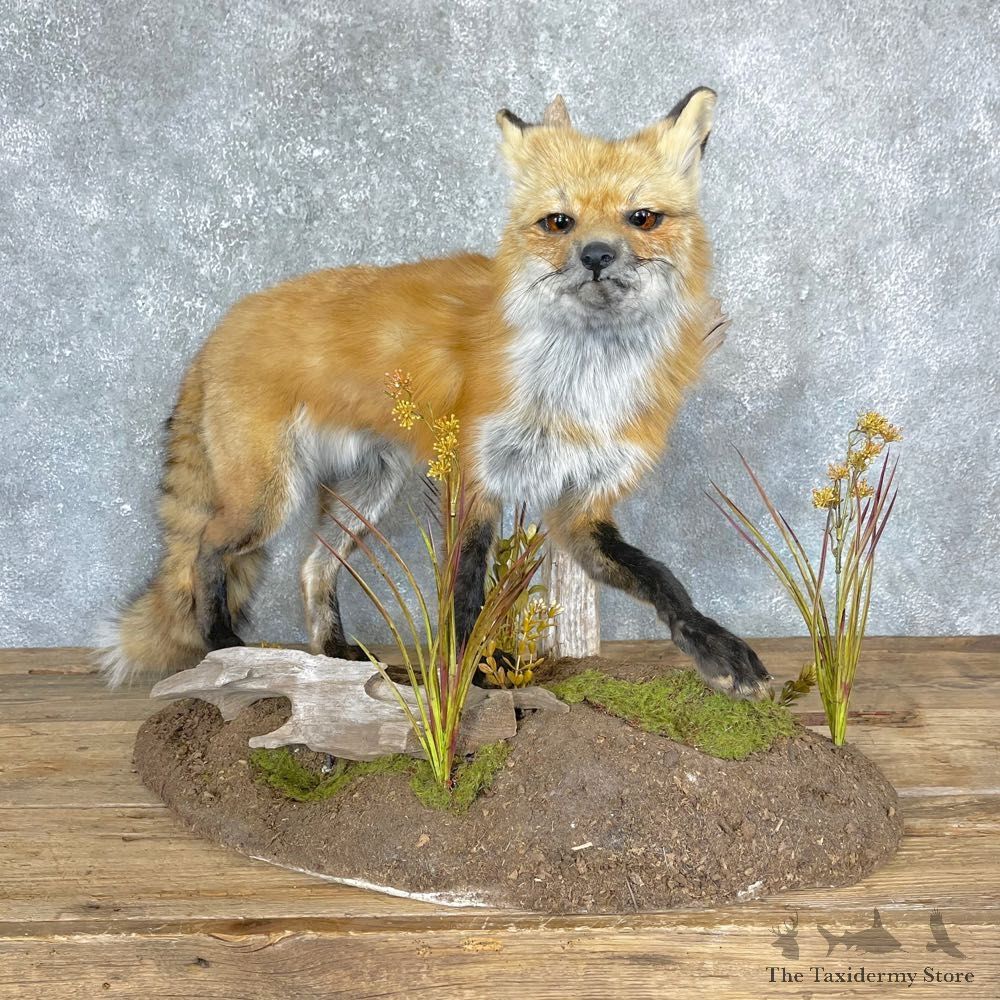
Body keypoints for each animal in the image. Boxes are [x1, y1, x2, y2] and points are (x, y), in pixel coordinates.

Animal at [97, 88, 771, 699]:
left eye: (643, 217)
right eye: (559, 222)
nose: (597, 255)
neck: (580, 386)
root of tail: (220, 330)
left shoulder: (580, 506)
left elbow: (663, 578)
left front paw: (717, 649)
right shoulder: (474, 479)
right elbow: (465, 591)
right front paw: (473, 675)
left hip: (366, 493)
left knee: (313, 565)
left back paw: (335, 654)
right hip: (268, 499)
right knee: (206, 550)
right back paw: (222, 645)